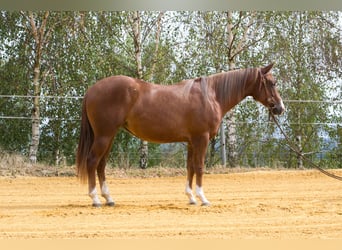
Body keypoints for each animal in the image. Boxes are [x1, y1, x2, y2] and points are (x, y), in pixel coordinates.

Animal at [76, 63, 284, 207]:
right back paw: (95, 199)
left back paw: (109, 198)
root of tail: (91, 90)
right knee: (93, 161)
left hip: (108, 136)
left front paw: (191, 197)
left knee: (101, 165)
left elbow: (190, 167)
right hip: (104, 135)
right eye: (272, 83)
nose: (280, 108)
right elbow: (199, 167)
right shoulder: (202, 139)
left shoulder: (192, 141)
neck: (211, 96)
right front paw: (203, 198)